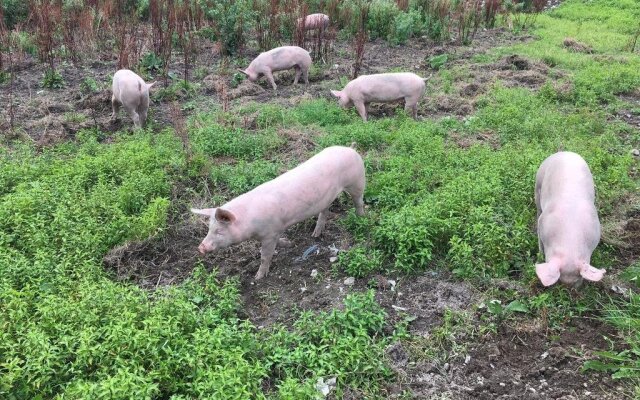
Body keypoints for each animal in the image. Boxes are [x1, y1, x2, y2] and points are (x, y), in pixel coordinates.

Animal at [190, 145, 364, 280]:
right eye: (209, 229)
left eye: (219, 231)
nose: (200, 248)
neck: (249, 223)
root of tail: (351, 149)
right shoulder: (274, 231)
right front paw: (289, 243)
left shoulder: (270, 233)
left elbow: (265, 256)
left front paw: (258, 277)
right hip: (327, 198)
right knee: (325, 210)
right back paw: (315, 234)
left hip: (357, 182)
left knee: (359, 202)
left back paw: (361, 219)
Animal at [536, 152, 604, 286]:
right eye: (559, 280)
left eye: (579, 279)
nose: (569, 287)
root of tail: (565, 152)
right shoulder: (542, 221)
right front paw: (539, 255)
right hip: (539, 178)